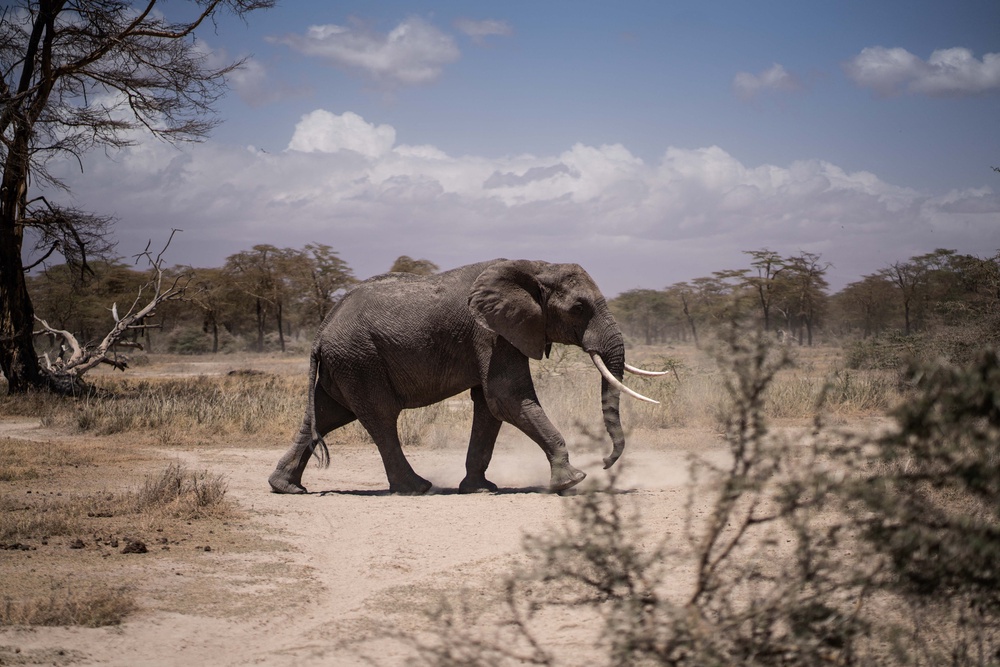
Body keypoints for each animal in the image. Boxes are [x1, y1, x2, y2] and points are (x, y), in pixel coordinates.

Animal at [268, 258, 666, 495]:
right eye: (579, 308)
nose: (606, 463)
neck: (534, 267)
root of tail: (320, 332)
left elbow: (489, 407)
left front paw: (480, 488)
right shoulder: (491, 333)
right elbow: (506, 397)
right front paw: (572, 482)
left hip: (345, 363)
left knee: (326, 416)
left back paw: (286, 488)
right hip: (360, 359)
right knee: (380, 417)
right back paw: (417, 488)